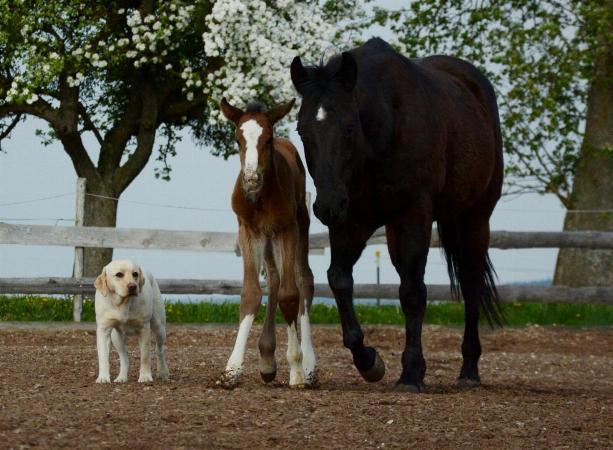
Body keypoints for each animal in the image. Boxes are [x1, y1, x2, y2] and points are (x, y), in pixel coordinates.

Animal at [218, 97, 316, 389]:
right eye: (238, 139)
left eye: (268, 139)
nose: (251, 179)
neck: (260, 197)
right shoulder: (249, 232)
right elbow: (251, 293)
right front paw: (232, 369)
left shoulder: (286, 229)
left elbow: (290, 295)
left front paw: (297, 367)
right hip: (268, 238)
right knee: (274, 278)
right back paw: (267, 360)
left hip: (299, 225)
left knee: (303, 279)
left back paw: (307, 366)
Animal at [290, 37, 504, 392]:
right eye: (303, 130)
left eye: (349, 127)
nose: (326, 206)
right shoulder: (352, 219)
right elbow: (340, 279)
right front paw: (368, 361)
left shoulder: (415, 213)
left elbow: (413, 293)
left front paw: (411, 372)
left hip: (475, 217)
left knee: (471, 284)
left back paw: (469, 369)